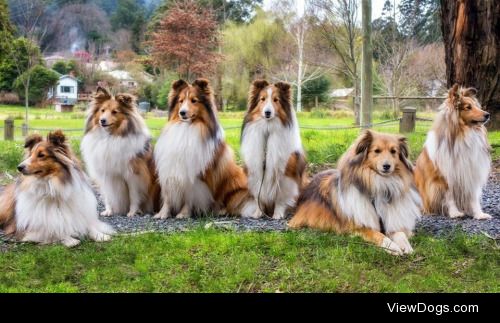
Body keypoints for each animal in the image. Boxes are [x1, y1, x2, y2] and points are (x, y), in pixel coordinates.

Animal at [80, 87, 158, 218]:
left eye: (115, 112)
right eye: (102, 110)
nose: (102, 121)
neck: (110, 137)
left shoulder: (134, 175)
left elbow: (133, 195)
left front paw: (132, 212)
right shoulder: (105, 174)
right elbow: (108, 196)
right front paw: (108, 211)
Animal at [154, 79, 256, 220]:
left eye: (194, 100)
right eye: (180, 101)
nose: (182, 113)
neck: (187, 128)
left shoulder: (194, 174)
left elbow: (189, 196)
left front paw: (183, 214)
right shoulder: (171, 168)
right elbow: (168, 196)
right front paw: (162, 213)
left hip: (234, 184)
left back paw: (221, 211)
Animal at [240, 79, 306, 219]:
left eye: (276, 100)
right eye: (262, 99)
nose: (267, 112)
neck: (268, 131)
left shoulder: (285, 172)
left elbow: (280, 196)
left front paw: (278, 214)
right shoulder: (256, 170)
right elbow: (258, 195)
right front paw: (258, 213)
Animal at [290, 131, 422, 256]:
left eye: (393, 151)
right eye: (377, 151)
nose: (386, 166)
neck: (379, 184)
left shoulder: (390, 219)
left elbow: (400, 233)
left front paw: (406, 245)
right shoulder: (358, 226)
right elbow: (378, 235)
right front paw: (392, 247)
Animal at [414, 83, 492, 220]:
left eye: (477, 106)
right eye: (468, 107)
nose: (487, 114)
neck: (463, 134)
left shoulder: (471, 174)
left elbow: (473, 198)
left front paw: (479, 214)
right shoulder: (445, 177)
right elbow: (449, 198)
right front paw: (455, 213)